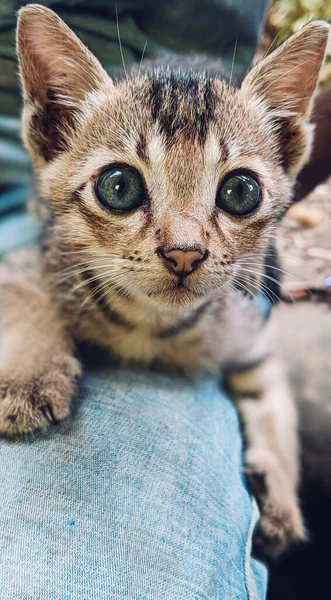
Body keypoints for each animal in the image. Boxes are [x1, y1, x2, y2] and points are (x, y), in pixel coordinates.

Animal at [0, 4, 330, 556]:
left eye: (241, 191)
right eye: (118, 186)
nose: (184, 254)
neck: (149, 322)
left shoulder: (248, 331)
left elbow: (276, 409)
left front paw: (281, 495)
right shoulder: (26, 262)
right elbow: (28, 305)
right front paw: (28, 378)